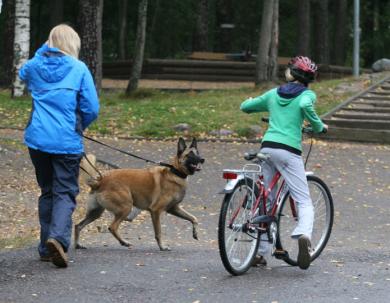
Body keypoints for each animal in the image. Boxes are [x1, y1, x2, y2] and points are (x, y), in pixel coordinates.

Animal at [74, 138, 206, 252]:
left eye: (198, 153)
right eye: (190, 154)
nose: (202, 159)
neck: (175, 172)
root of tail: (100, 181)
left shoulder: (174, 209)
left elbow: (194, 218)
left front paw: (195, 233)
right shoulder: (156, 211)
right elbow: (158, 232)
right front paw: (162, 247)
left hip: (96, 213)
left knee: (78, 226)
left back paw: (78, 245)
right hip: (126, 207)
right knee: (112, 227)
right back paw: (124, 242)